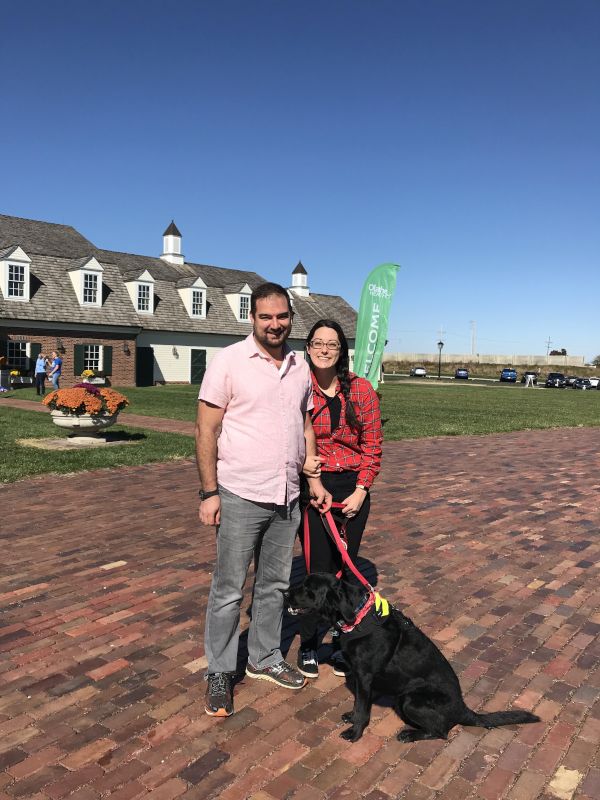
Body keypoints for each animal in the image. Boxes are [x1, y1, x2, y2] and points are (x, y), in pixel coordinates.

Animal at [287, 573, 540, 743]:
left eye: (308, 588)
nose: (285, 592)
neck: (357, 617)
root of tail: (464, 709)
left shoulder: (364, 677)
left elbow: (362, 708)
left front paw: (355, 732)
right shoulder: (361, 679)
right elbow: (358, 703)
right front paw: (351, 716)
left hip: (410, 699)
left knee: (441, 732)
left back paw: (410, 734)